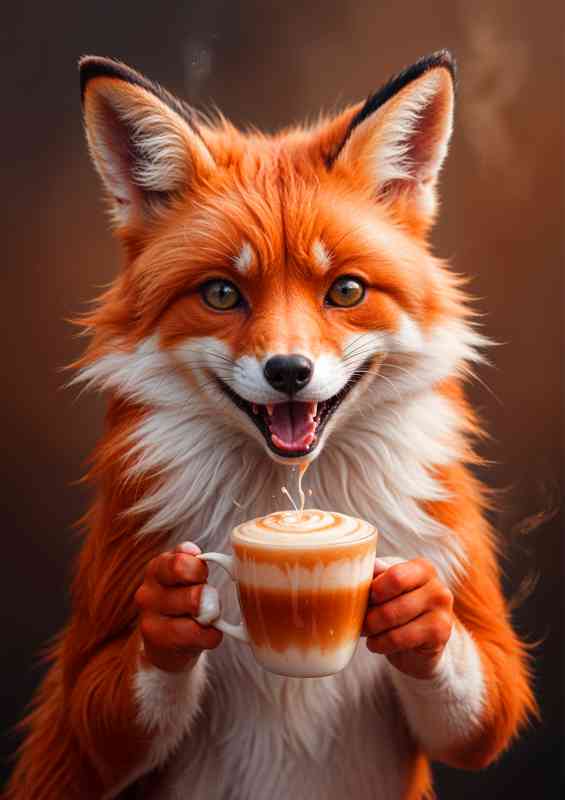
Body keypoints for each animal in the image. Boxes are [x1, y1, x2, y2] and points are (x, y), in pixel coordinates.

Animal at [7, 50, 535, 800]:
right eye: (222, 294)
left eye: (346, 290)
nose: (289, 371)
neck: (290, 493)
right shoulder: (87, 688)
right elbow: (102, 715)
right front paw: (171, 617)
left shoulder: (476, 623)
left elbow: (482, 708)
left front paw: (417, 611)